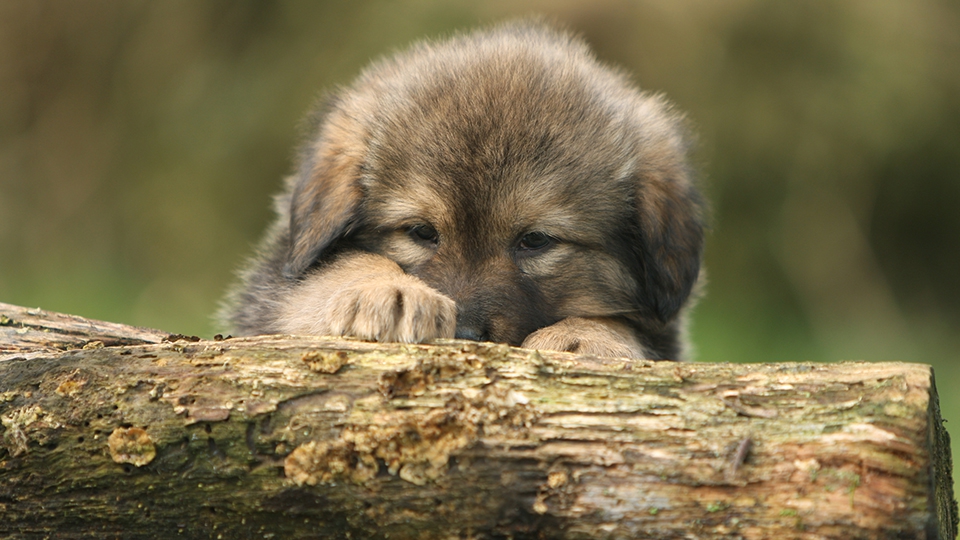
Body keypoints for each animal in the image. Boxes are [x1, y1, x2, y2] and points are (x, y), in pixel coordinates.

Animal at [219, 21, 704, 360]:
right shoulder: (270, 297)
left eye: (535, 240)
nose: (465, 335)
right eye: (420, 232)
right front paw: (388, 291)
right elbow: (331, 274)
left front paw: (586, 335)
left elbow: (630, 329)